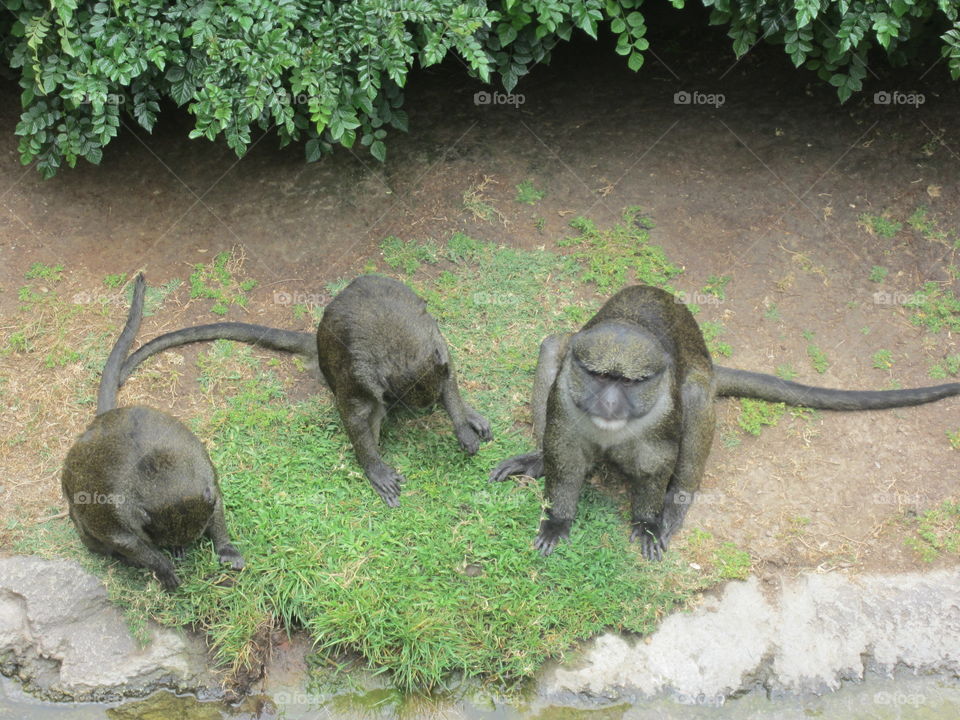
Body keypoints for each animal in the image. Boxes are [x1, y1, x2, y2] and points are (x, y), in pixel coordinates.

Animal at [61, 274, 244, 591]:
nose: (173, 547)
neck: (159, 472)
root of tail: (103, 419)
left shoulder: (207, 475)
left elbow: (217, 503)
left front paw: (225, 547)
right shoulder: (117, 515)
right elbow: (124, 540)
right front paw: (161, 565)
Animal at [116, 274, 492, 508]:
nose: (427, 408)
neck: (401, 347)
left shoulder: (435, 344)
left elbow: (448, 377)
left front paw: (462, 424)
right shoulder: (361, 373)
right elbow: (356, 413)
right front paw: (374, 468)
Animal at [490, 284, 960, 560]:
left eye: (630, 382)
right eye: (599, 376)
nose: (607, 401)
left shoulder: (663, 413)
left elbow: (655, 463)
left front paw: (649, 522)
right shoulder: (568, 402)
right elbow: (565, 455)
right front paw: (557, 520)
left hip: (699, 385)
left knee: (698, 395)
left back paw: (675, 503)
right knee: (554, 344)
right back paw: (536, 457)